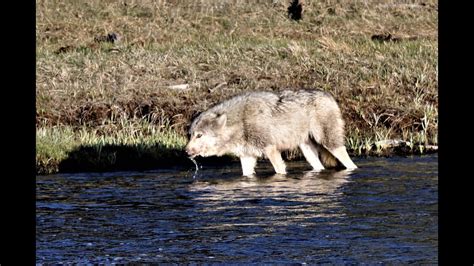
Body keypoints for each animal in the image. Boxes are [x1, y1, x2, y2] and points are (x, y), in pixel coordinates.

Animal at [185, 90, 356, 177]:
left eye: (199, 135)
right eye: (191, 135)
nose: (185, 151)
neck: (242, 121)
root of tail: (329, 96)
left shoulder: (271, 150)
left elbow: (279, 171)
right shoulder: (247, 156)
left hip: (330, 143)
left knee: (350, 164)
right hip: (307, 150)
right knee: (319, 167)